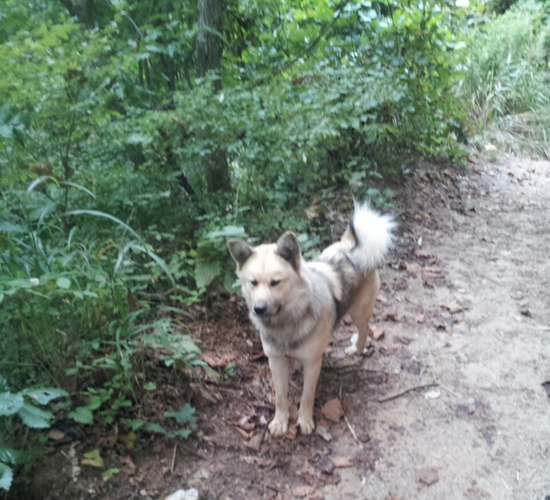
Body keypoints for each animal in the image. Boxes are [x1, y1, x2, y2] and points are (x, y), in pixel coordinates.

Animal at [229, 205, 396, 436]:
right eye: (253, 282)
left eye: (275, 282)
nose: (259, 309)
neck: (289, 321)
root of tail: (352, 246)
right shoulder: (276, 361)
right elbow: (280, 397)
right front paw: (280, 421)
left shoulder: (312, 363)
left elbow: (307, 396)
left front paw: (304, 421)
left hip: (358, 313)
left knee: (364, 329)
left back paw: (357, 348)